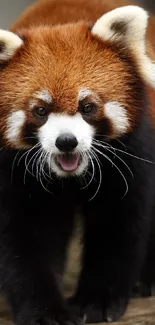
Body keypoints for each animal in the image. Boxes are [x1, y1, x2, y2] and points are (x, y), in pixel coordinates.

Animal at [0, 0, 155, 322]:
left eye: (87, 107)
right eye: (40, 110)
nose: (66, 141)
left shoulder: (132, 150)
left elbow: (118, 224)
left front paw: (96, 301)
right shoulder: (13, 170)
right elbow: (26, 237)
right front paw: (45, 311)